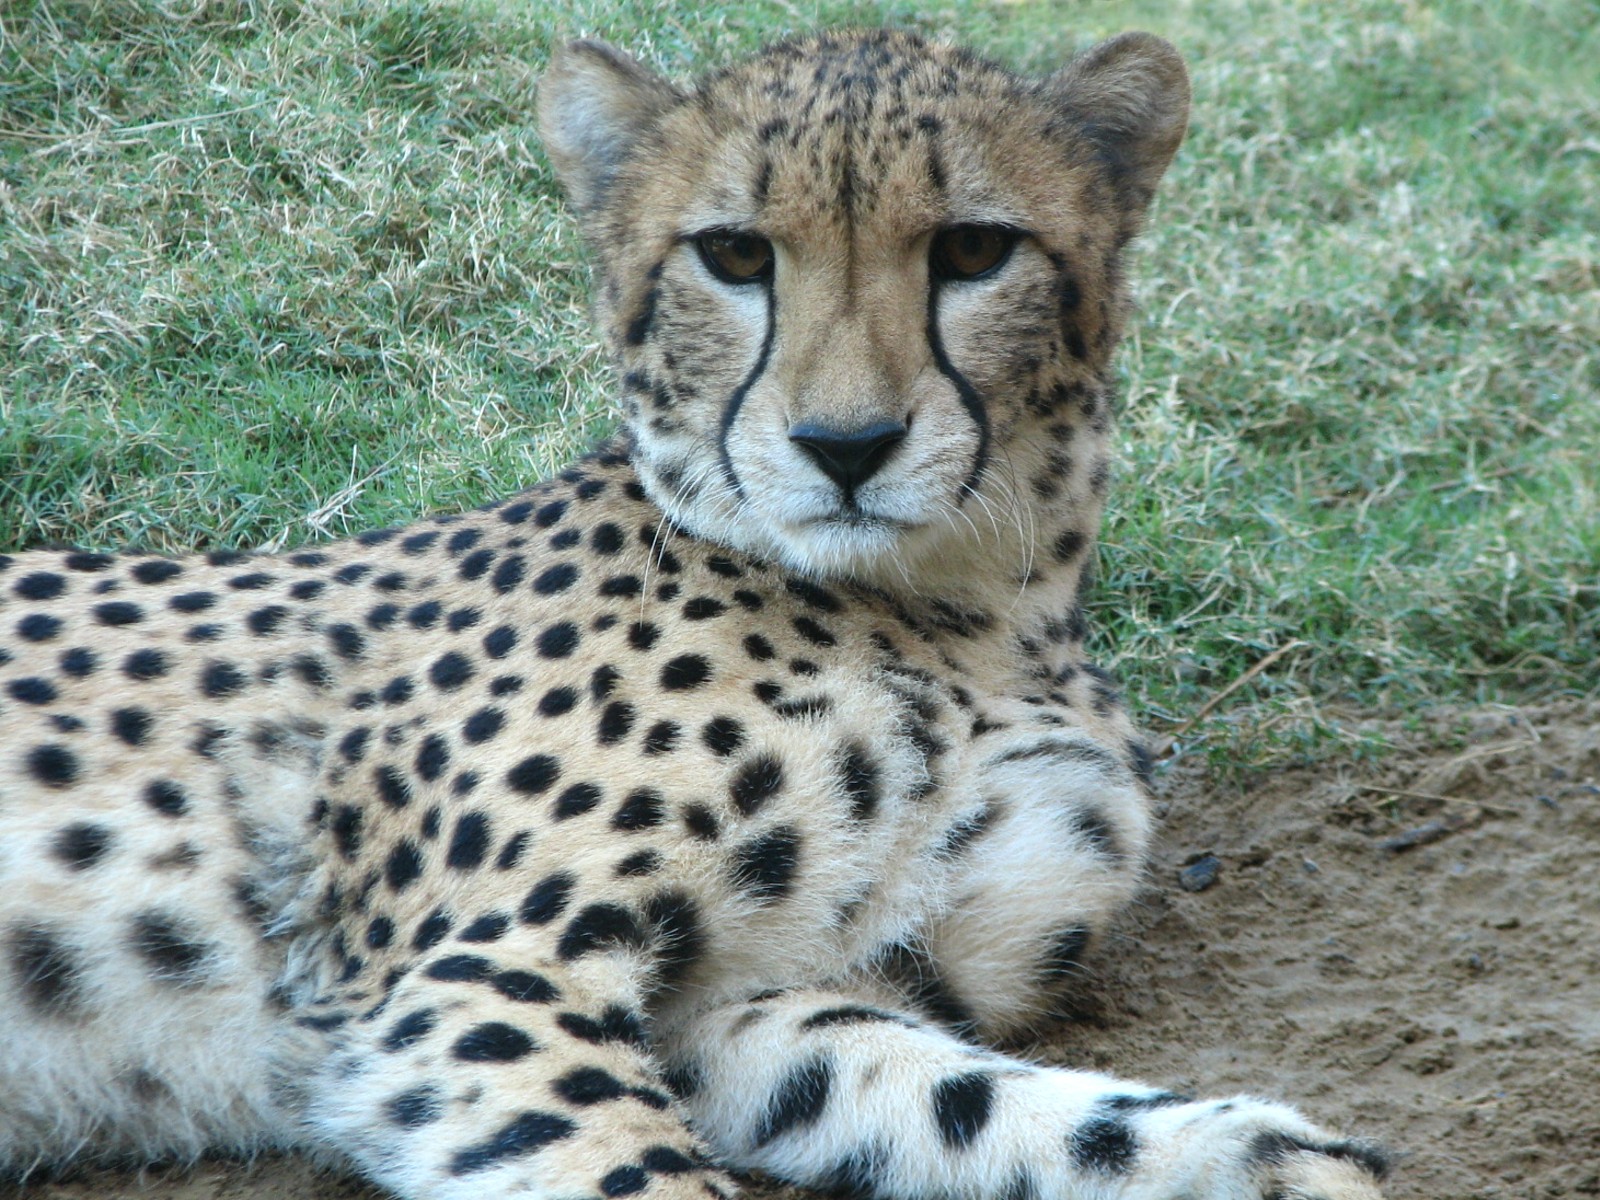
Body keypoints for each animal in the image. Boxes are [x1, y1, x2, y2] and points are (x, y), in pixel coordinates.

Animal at [0, 28, 1391, 1200]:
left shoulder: (747, 1004)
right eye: (732, 255)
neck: (980, 613)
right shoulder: (467, 982)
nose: (847, 445)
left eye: (971, 251)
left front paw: (1251, 1157)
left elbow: (967, 1099)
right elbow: (644, 1171)